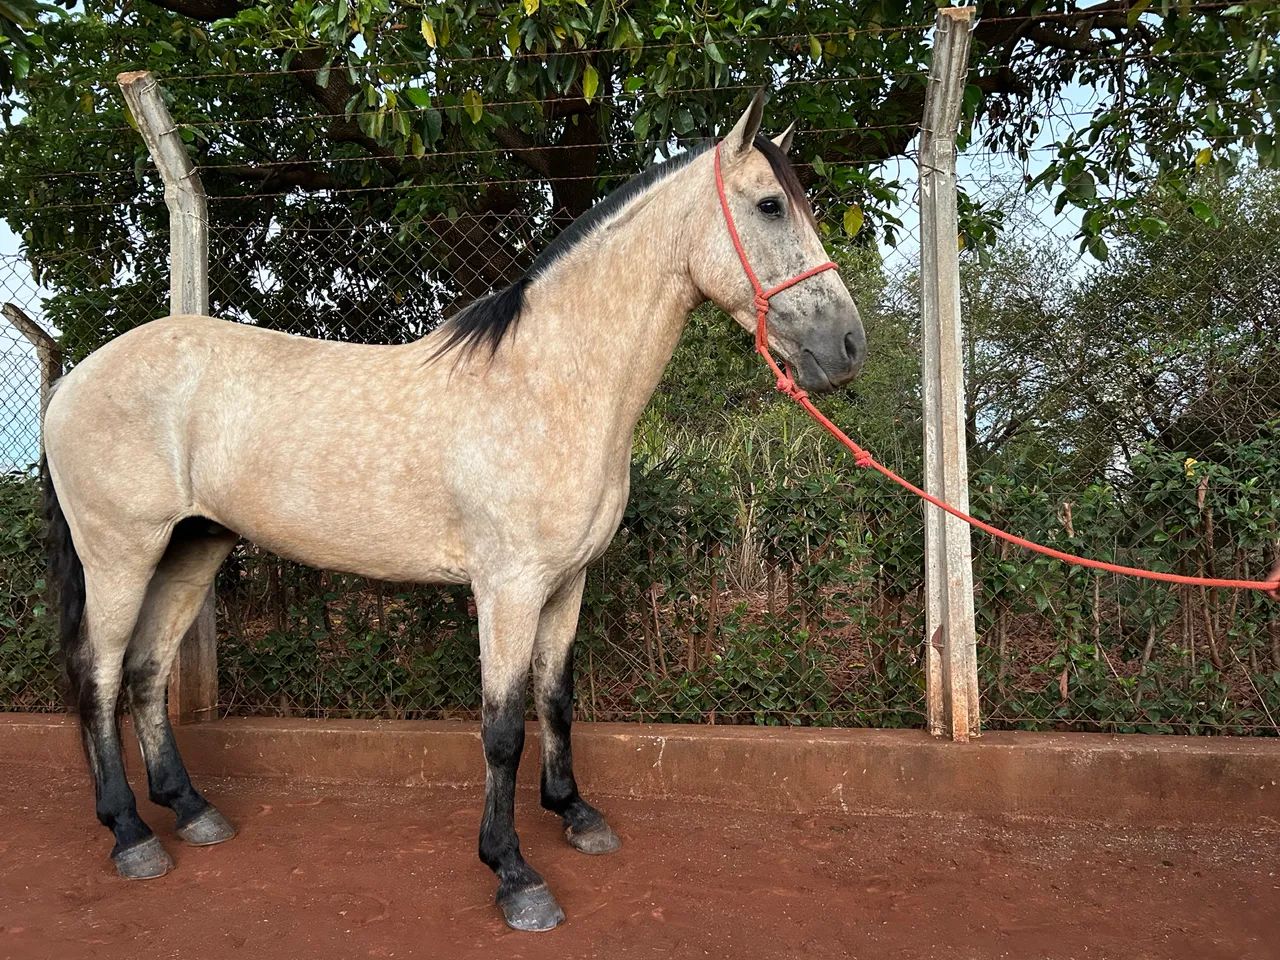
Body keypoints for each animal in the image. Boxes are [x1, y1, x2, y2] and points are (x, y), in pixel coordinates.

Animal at [42, 91, 866, 931]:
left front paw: (575, 814)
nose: (848, 346)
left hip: (193, 547)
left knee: (145, 670)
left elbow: (555, 699)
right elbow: (501, 728)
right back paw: (132, 834)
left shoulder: (565, 584)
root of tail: (74, 379)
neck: (548, 382)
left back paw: (190, 809)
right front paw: (514, 874)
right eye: (770, 206)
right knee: (98, 673)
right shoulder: (508, 588)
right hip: (121, 553)